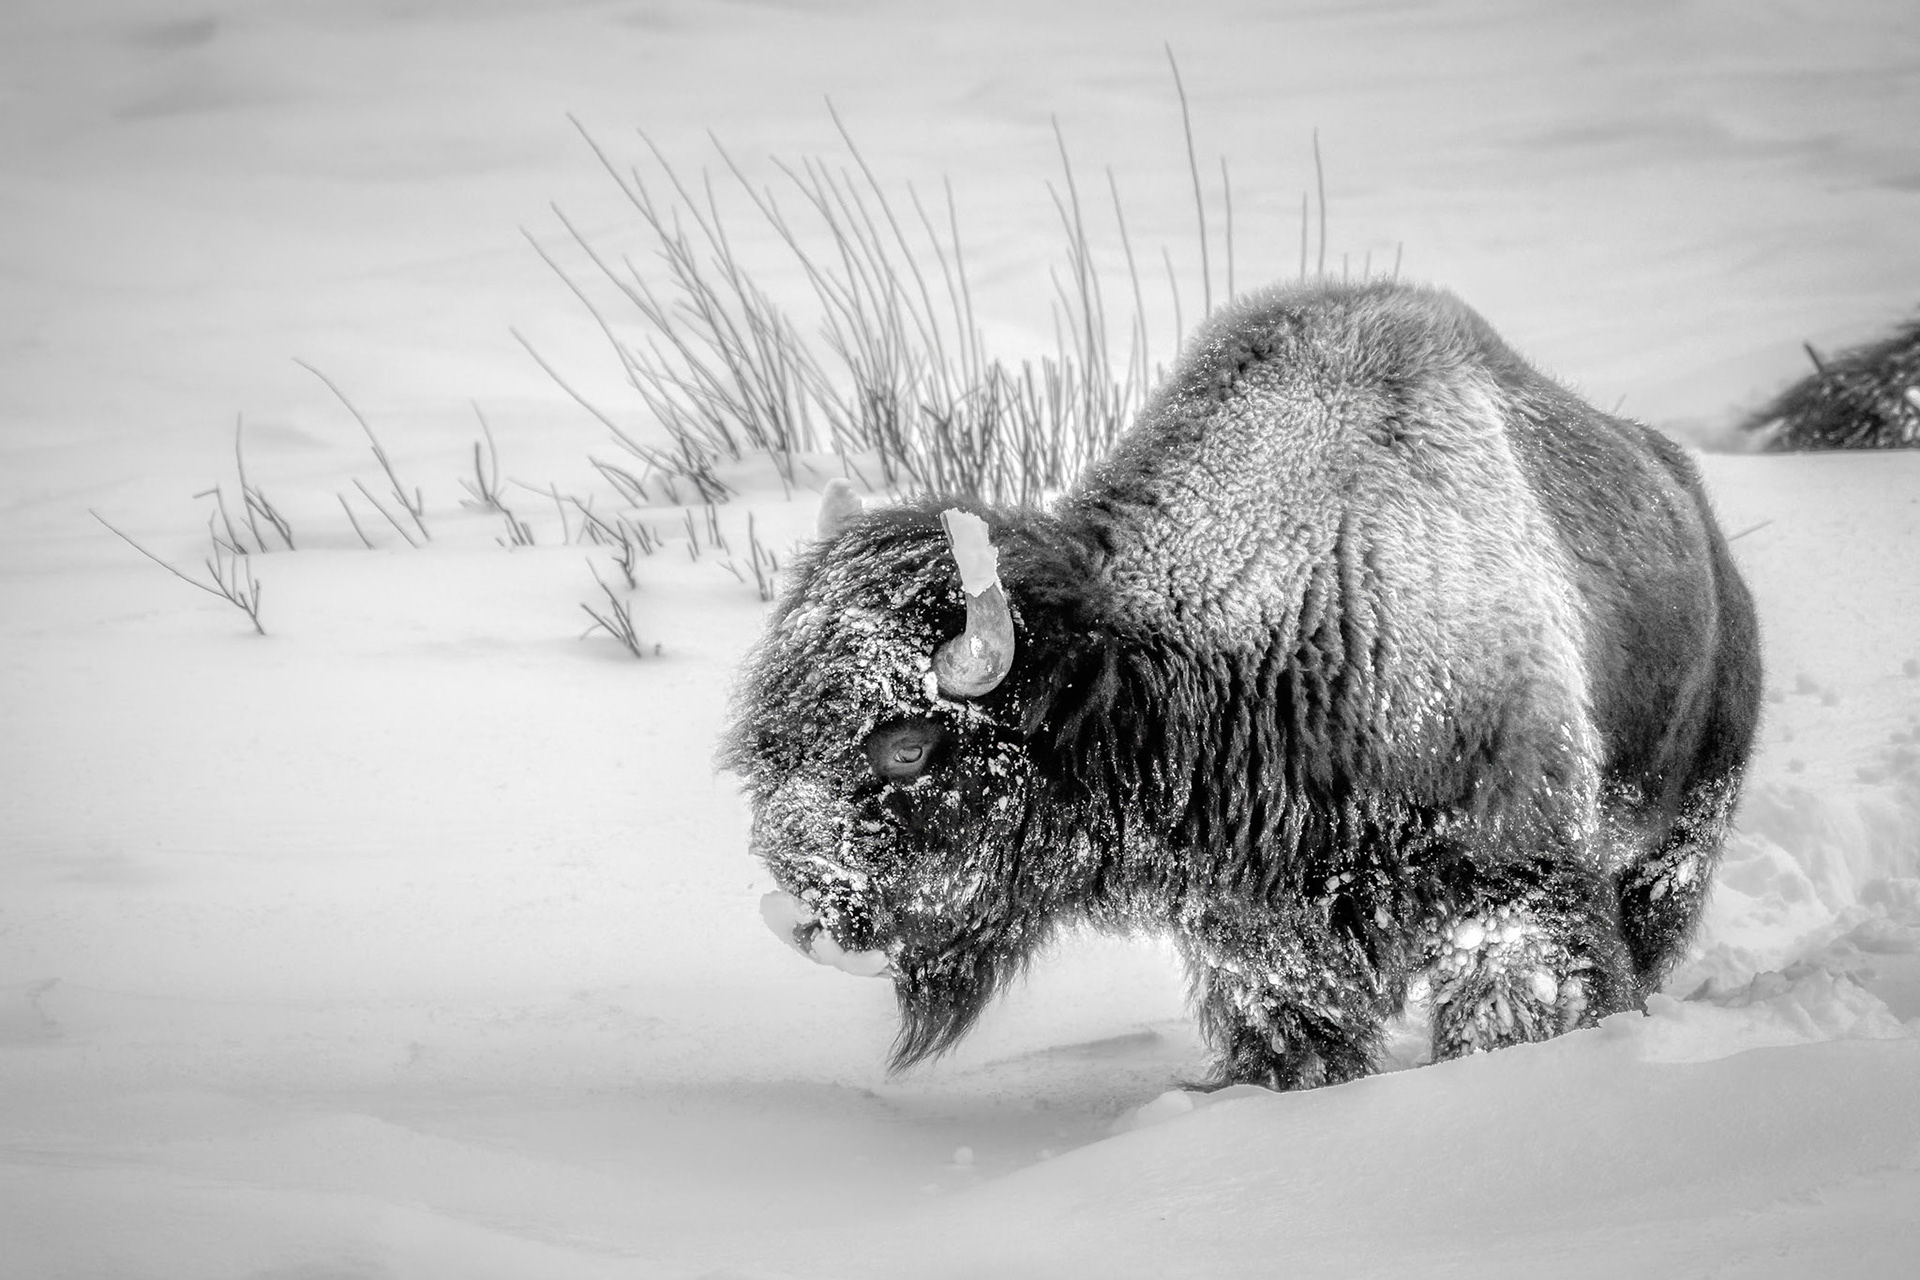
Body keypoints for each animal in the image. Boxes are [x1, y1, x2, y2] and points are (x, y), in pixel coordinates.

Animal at [723, 279, 1762, 1090]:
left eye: (907, 746)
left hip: (1677, 839)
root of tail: (1698, 517)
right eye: (772, 746)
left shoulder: (1512, 891)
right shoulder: (1264, 938)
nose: (802, 913)